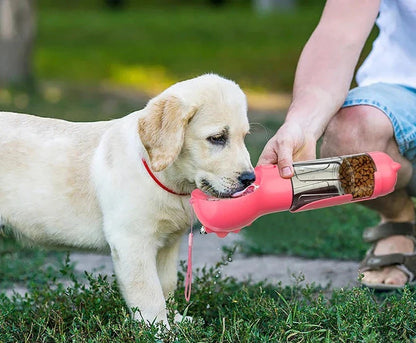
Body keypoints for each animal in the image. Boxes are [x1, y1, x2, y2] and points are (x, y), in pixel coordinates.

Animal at [0, 74, 254, 328]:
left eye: (244, 138)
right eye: (217, 138)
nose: (250, 179)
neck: (166, 179)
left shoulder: (168, 244)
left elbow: (167, 285)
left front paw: (176, 320)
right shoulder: (132, 242)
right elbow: (150, 293)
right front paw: (160, 330)